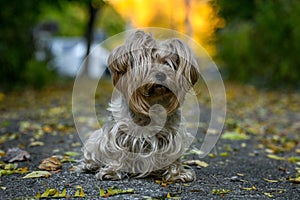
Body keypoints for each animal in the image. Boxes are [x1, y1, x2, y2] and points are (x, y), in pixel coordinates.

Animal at [77, 30, 199, 182]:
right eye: (148, 63)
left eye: (168, 64)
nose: (161, 75)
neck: (152, 103)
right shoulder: (119, 133)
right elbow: (117, 152)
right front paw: (112, 171)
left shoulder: (172, 135)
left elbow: (173, 155)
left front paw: (176, 174)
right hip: (95, 141)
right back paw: (90, 165)